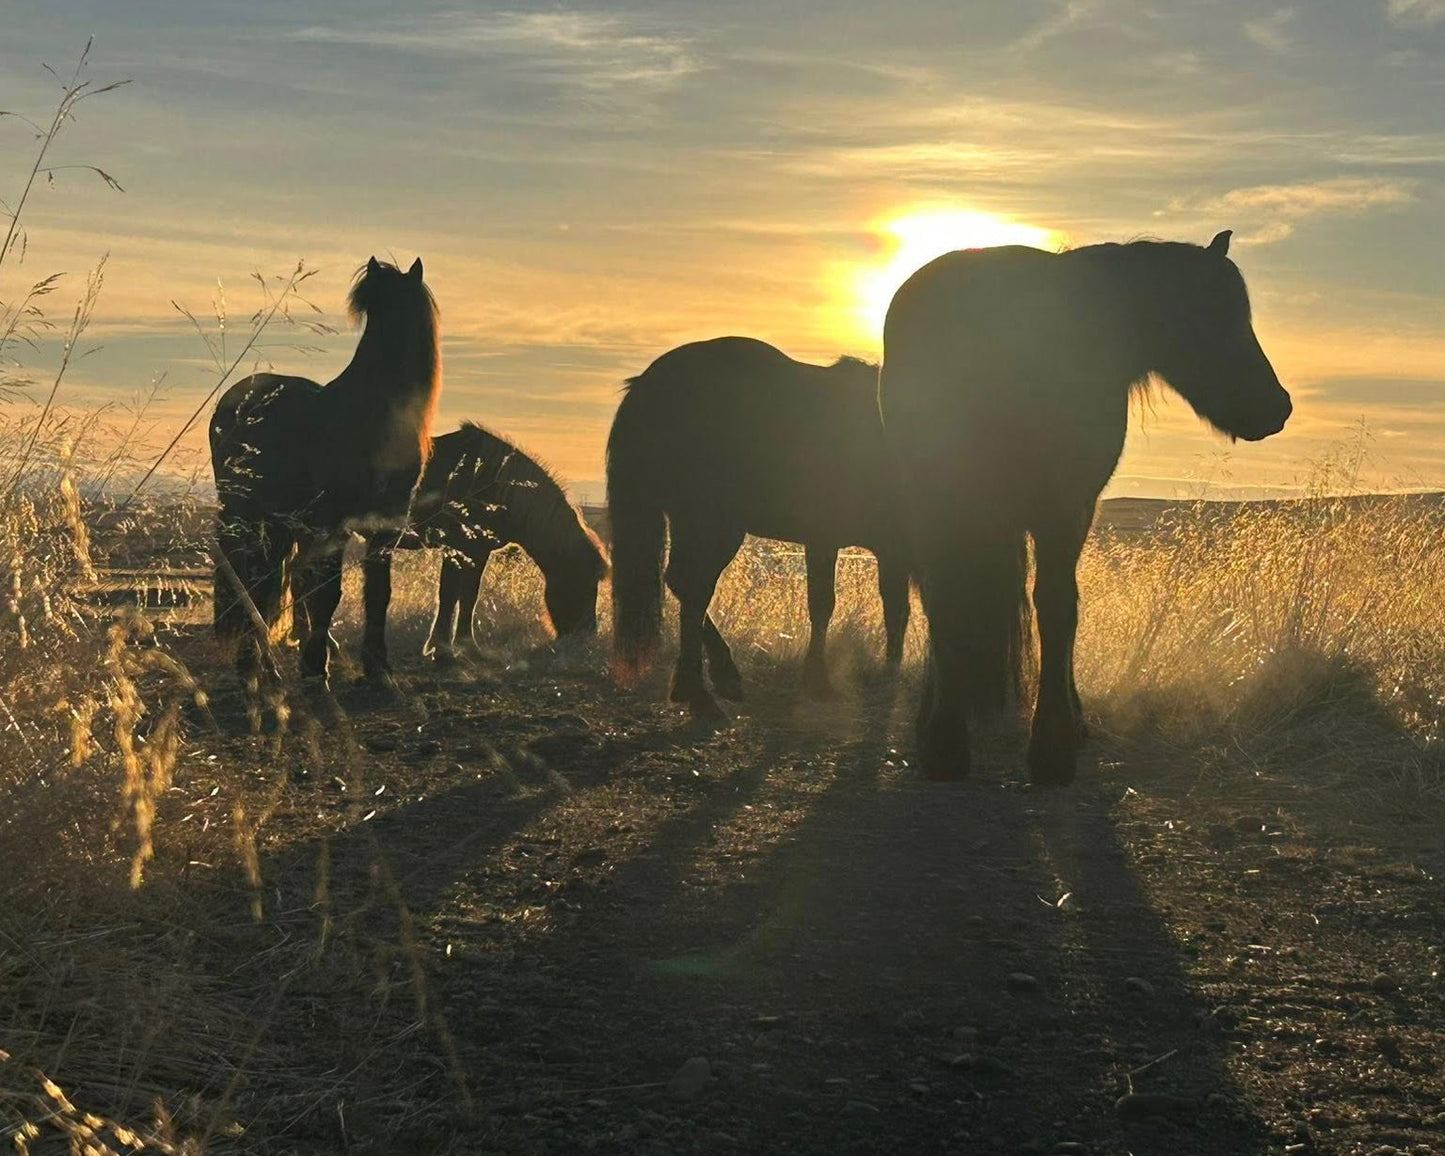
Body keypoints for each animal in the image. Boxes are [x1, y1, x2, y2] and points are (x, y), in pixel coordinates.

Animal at [210, 256, 441, 686]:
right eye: (373, 312)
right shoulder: (334, 523)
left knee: (266, 581)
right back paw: (253, 667)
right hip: (246, 515)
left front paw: (378, 668)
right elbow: (327, 595)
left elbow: (378, 595)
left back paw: (264, 667)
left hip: (279, 523)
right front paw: (317, 667)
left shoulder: (385, 527)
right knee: (251, 580)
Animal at [402, 422, 609, 659]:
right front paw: (440, 648)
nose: (587, 635)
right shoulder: (457, 548)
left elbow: (469, 596)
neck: (489, 483)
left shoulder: (476, 552)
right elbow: (449, 595)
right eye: (582, 581)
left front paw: (466, 645)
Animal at [607, 336, 912, 718]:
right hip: (710, 522)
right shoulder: (826, 539)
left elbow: (896, 609)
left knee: (683, 583)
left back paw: (712, 681)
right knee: (694, 588)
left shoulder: (892, 549)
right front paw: (820, 681)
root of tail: (645, 386)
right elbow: (825, 604)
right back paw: (700, 691)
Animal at [879, 230, 1292, 786]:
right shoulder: (1070, 509)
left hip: (935, 506)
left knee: (941, 599)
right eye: (1213, 315)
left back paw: (943, 736)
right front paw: (1056, 742)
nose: (1276, 406)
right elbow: (1062, 609)